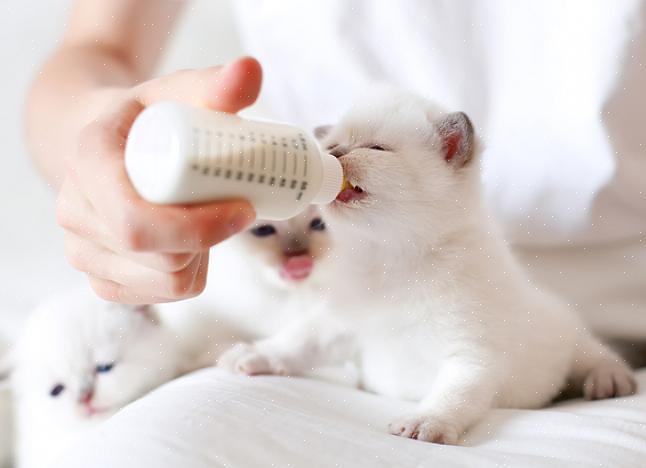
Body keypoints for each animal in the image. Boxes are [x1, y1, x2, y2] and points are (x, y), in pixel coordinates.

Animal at [220, 89, 640, 444]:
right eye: (331, 145)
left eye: (376, 148)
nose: (334, 153)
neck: (392, 259)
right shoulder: (338, 324)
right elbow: (297, 342)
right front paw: (254, 355)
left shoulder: (471, 353)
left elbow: (454, 394)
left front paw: (427, 420)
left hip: (572, 343)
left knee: (597, 356)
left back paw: (609, 379)